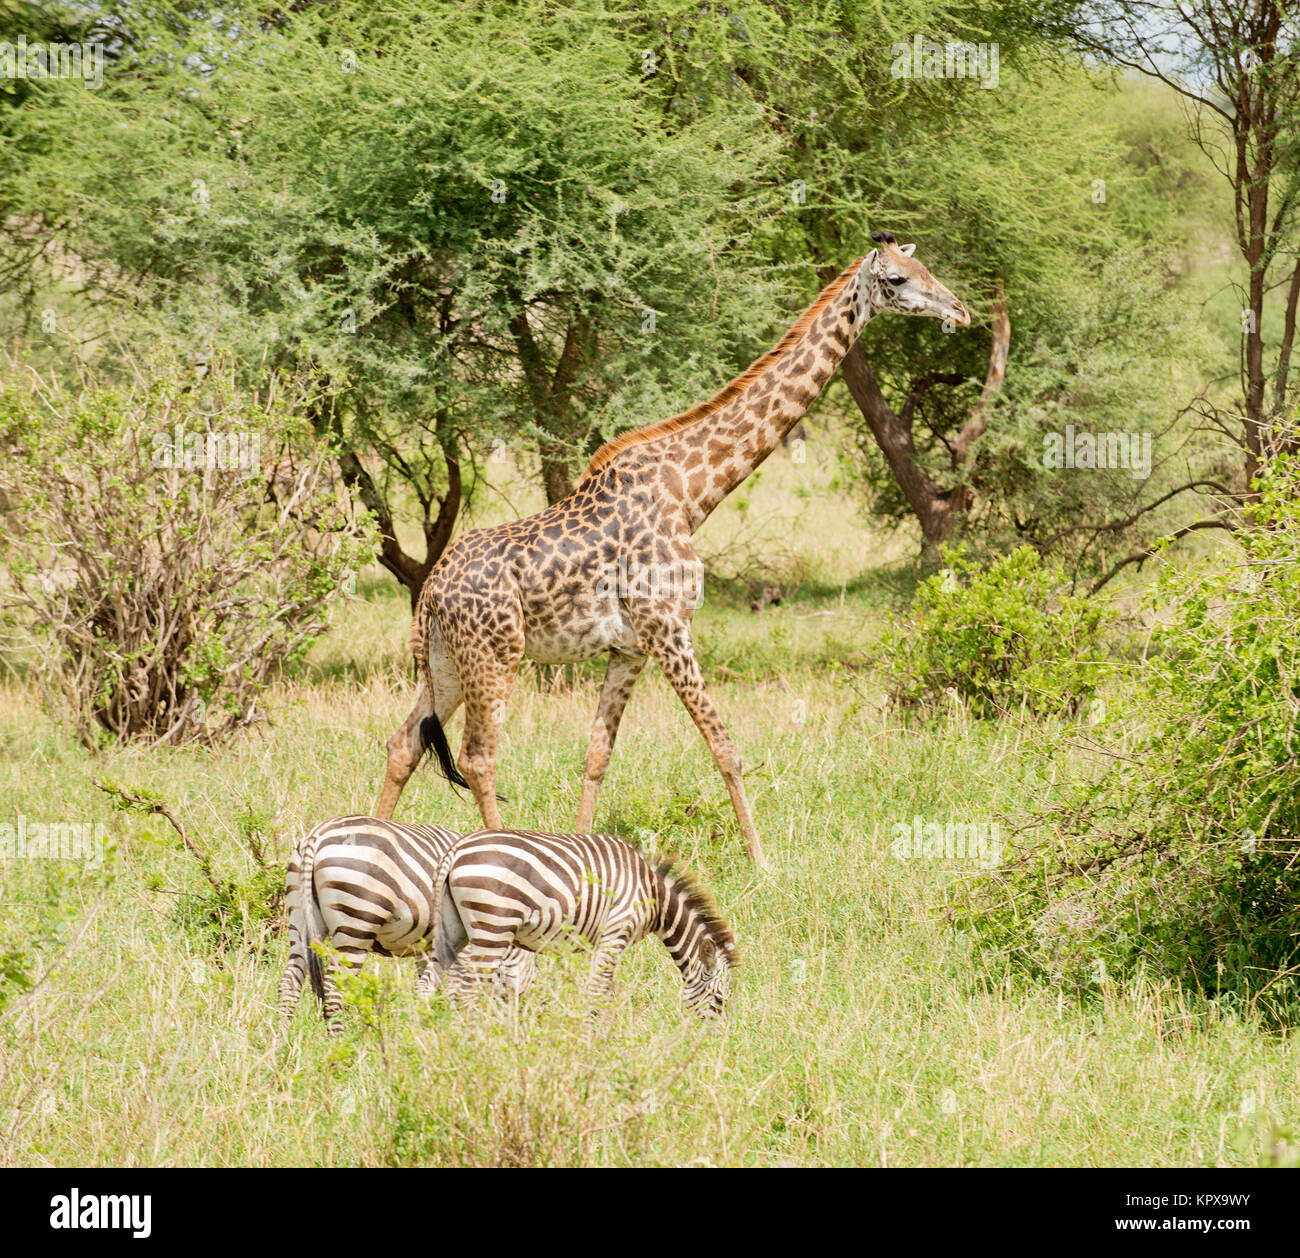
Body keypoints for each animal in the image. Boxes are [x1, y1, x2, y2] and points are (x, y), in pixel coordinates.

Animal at [277, 815, 535, 1033]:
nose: (513, 1025)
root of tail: (316, 837)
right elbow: (454, 989)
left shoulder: (427, 949)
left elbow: (429, 985)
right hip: (359, 916)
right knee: (334, 986)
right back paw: (339, 1041)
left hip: (299, 915)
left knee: (290, 981)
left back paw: (282, 1043)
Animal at [375, 233, 970, 870]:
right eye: (899, 280)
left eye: (925, 267)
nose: (960, 311)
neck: (690, 491)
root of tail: (431, 590)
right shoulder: (669, 626)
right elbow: (725, 745)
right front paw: (763, 863)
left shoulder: (629, 648)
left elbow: (596, 757)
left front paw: (588, 861)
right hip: (495, 656)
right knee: (478, 757)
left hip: (447, 661)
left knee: (404, 742)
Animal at [427, 829, 738, 1017]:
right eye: (720, 999)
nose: (708, 1041)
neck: (653, 895)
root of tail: (456, 851)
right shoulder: (617, 931)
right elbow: (598, 989)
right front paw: (593, 1035)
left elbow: (605, 989)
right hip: (494, 925)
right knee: (467, 990)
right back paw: (476, 1039)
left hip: (454, 928)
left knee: (431, 981)